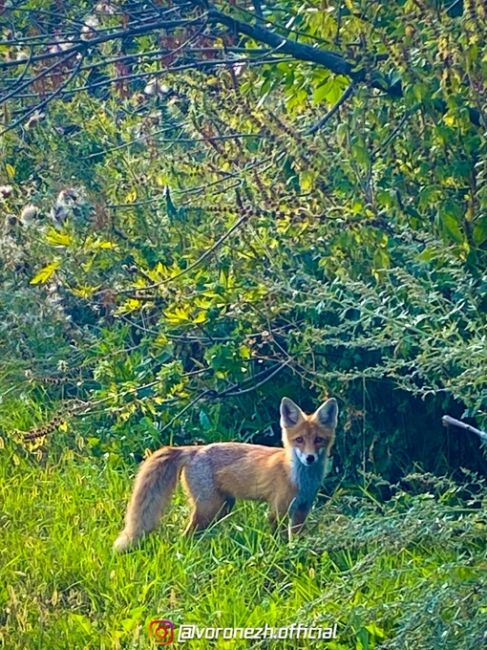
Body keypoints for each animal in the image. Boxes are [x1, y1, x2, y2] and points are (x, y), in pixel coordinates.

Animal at [113, 394, 340, 552]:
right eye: (299, 440)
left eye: (318, 440)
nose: (310, 458)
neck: (300, 480)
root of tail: (193, 449)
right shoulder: (278, 510)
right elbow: (280, 541)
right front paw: (282, 557)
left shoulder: (302, 510)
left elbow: (297, 538)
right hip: (210, 508)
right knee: (184, 537)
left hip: (223, 507)